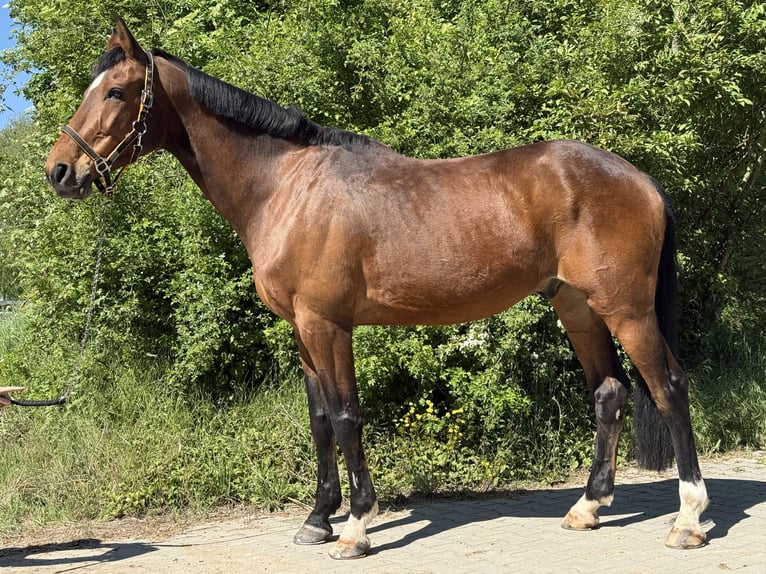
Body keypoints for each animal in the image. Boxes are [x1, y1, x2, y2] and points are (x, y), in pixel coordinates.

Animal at [45, 19, 709, 559]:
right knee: (609, 392)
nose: (59, 172)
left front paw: (356, 529)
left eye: (115, 91)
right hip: (576, 307)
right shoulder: (302, 331)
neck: (286, 187)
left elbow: (345, 416)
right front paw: (317, 520)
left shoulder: (327, 324)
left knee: (669, 387)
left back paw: (688, 519)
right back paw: (587, 508)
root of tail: (640, 178)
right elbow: (318, 419)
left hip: (626, 311)